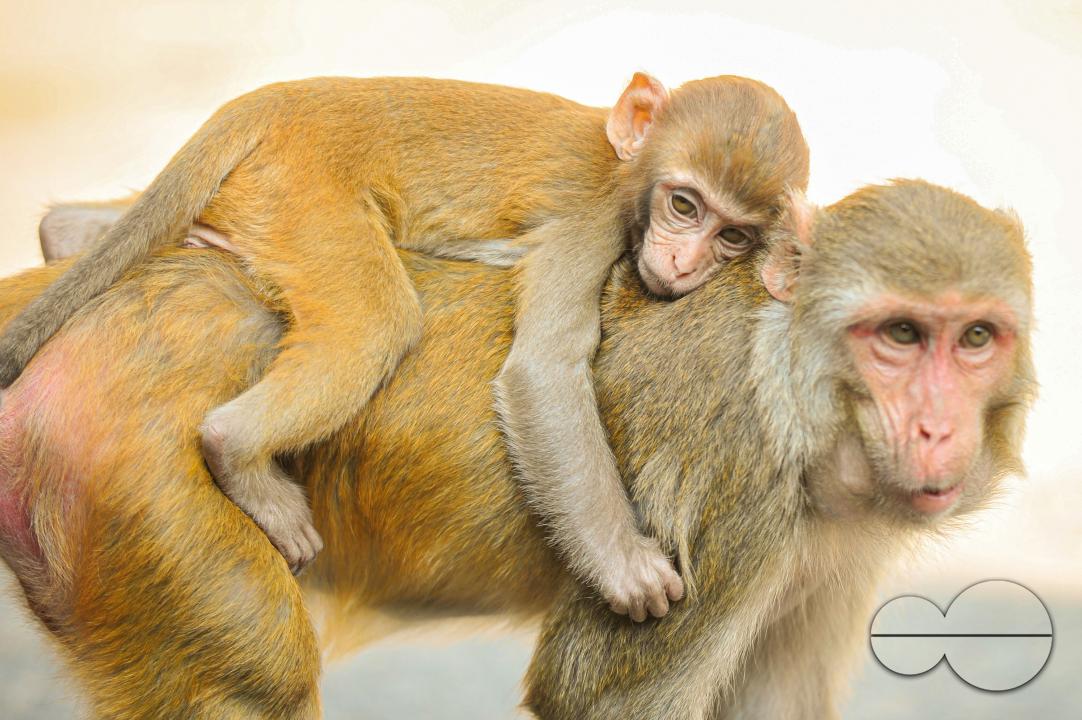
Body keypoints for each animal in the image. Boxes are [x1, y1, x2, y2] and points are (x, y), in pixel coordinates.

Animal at [0, 75, 810, 621]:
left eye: (733, 235)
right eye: (684, 204)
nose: (684, 262)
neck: (628, 165)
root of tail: (274, 99)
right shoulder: (594, 217)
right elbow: (544, 369)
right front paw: (625, 568)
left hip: (259, 195)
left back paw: (68, 236)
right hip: (305, 190)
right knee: (376, 323)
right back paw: (236, 451)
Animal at [0, 179, 1033, 718]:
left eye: (976, 338)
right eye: (899, 336)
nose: (939, 429)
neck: (794, 384)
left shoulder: (829, 548)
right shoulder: (738, 494)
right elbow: (598, 698)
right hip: (140, 480)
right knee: (254, 673)